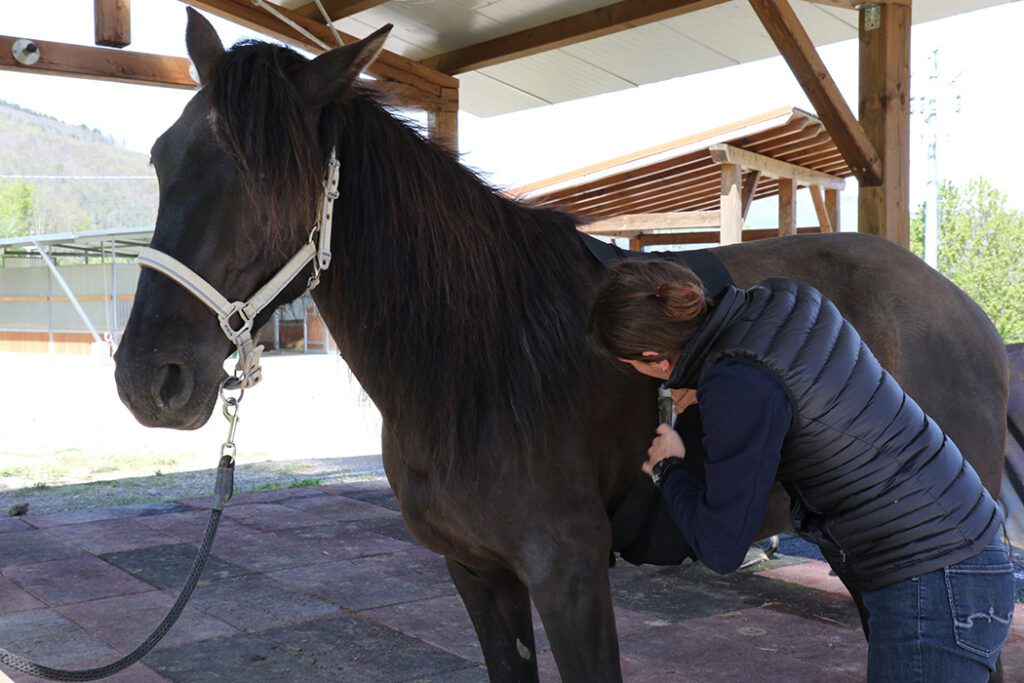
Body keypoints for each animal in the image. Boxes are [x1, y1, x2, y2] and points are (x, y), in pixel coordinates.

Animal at [113, 10, 1009, 681]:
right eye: (162, 156)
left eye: (272, 175)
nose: (150, 379)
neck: (481, 357)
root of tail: (966, 312)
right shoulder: (479, 574)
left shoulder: (569, 575)